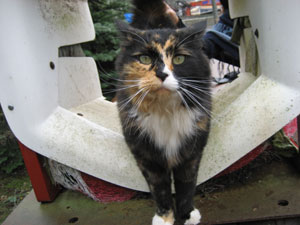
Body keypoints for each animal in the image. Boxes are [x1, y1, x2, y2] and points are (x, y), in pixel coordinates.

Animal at [115, 0, 211, 224]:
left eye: (178, 59)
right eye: (144, 58)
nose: (161, 74)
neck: (165, 111)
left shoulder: (192, 152)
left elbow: (186, 186)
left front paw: (187, 215)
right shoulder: (147, 157)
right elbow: (159, 190)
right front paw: (164, 218)